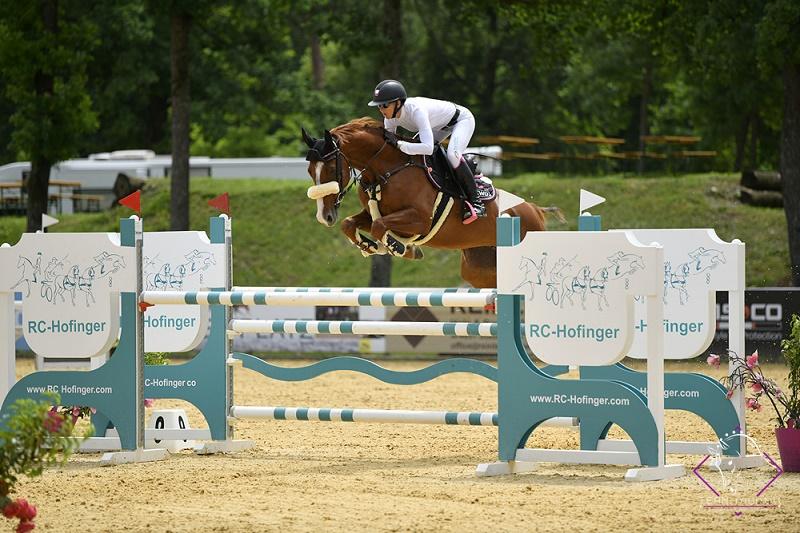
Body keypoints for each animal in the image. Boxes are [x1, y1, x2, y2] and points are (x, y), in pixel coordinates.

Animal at [304, 118, 560, 288]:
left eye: (330, 169)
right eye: (309, 171)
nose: (324, 216)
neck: (387, 169)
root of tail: (535, 210)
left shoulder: (420, 220)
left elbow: (380, 227)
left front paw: (400, 248)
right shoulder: (372, 213)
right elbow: (350, 224)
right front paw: (370, 246)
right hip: (478, 269)